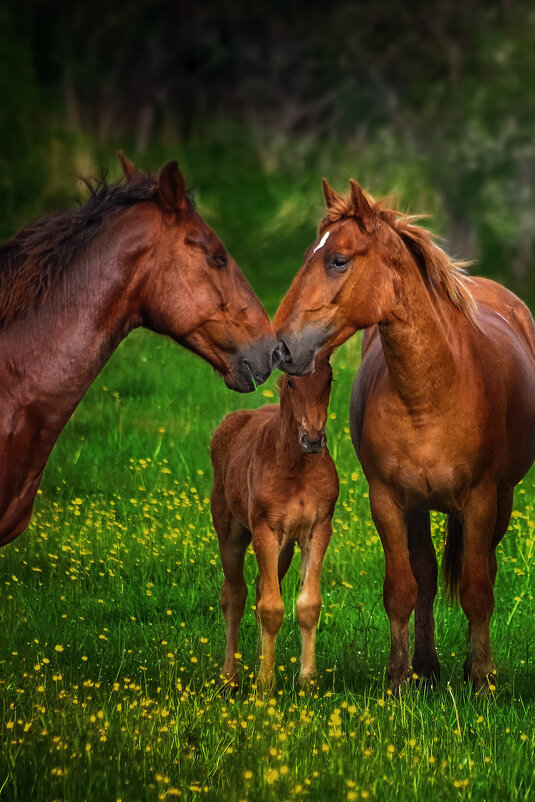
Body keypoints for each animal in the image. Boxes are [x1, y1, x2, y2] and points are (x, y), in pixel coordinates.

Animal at [210, 356, 340, 688]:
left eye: (329, 380)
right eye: (291, 382)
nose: (312, 439)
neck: (298, 468)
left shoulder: (318, 528)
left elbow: (307, 604)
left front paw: (307, 679)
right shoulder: (265, 531)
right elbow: (271, 607)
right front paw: (265, 684)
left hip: (285, 548)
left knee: (259, 589)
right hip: (230, 532)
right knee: (234, 594)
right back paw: (230, 677)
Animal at [274, 178, 535, 692]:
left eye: (338, 260)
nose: (282, 346)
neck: (431, 393)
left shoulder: (480, 499)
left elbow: (477, 589)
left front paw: (480, 680)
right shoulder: (389, 500)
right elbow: (402, 587)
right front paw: (398, 679)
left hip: (501, 500)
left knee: (483, 571)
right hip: (419, 507)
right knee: (427, 578)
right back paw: (427, 665)